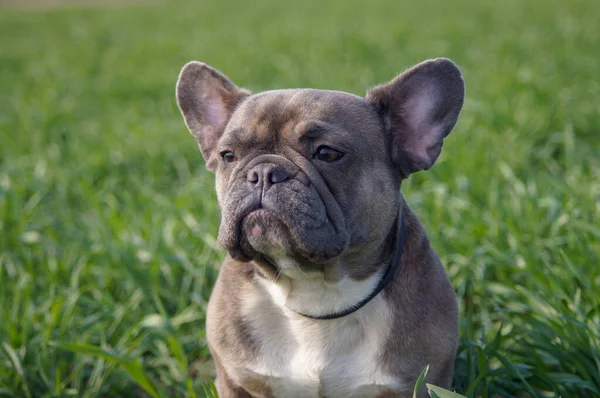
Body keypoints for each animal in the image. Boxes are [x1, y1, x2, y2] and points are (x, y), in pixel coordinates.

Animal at [173, 56, 464, 398]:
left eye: (327, 153)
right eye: (227, 156)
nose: (264, 173)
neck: (314, 293)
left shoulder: (421, 384)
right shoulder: (234, 382)